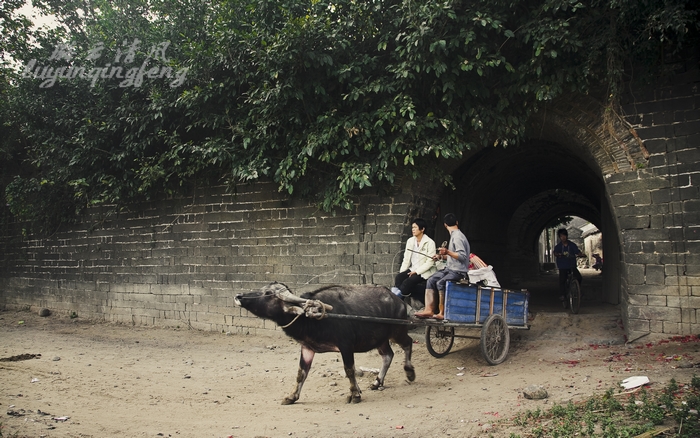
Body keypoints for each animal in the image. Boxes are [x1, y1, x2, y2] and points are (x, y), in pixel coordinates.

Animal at [234, 282, 416, 406]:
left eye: (268, 293)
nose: (239, 296)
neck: (312, 317)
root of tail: (399, 301)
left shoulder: (346, 345)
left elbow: (349, 370)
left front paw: (355, 394)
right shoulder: (307, 348)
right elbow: (301, 373)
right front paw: (291, 397)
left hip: (398, 331)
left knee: (407, 343)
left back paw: (409, 372)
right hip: (380, 339)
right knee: (388, 355)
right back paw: (377, 382)